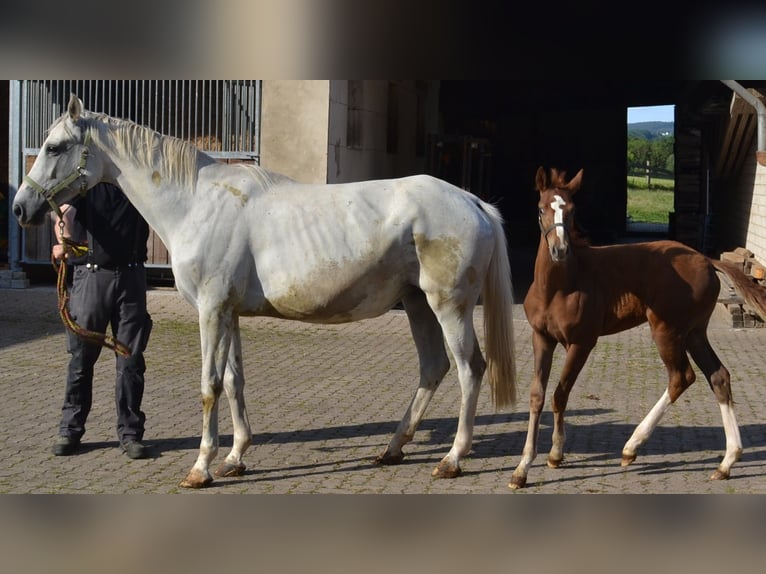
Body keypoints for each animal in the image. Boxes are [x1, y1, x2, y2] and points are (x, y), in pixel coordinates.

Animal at [12, 94, 518, 489]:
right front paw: (235, 458)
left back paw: (452, 459)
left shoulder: (211, 310)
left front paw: (201, 468)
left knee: (469, 370)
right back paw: (392, 449)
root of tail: (473, 201)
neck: (196, 201)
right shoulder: (230, 312)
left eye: (56, 146)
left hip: (448, 306)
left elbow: (210, 385)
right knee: (433, 368)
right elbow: (235, 381)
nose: (21, 208)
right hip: (417, 303)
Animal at [508, 166, 766, 490]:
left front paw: (554, 454)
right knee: (718, 376)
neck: (559, 286)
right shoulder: (541, 338)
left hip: (667, 330)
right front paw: (522, 469)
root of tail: (705, 259)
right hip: (694, 332)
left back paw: (632, 446)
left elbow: (560, 394)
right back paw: (726, 463)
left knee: (682, 377)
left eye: (572, 209)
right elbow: (537, 396)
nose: (559, 249)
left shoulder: (582, 342)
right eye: (541, 208)